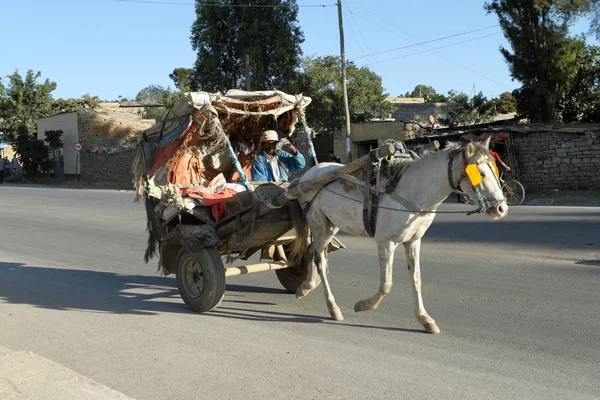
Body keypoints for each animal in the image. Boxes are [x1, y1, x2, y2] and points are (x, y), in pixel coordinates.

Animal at [290, 139, 506, 332]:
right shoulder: (386, 242)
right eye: (481, 173)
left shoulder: (414, 241)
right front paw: (363, 305)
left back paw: (306, 286)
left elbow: (416, 278)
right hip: (318, 222)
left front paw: (424, 318)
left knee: (312, 250)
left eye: (495, 170)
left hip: (331, 225)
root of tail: (307, 175)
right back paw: (332, 306)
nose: (501, 208)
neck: (411, 191)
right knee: (319, 258)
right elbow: (386, 284)